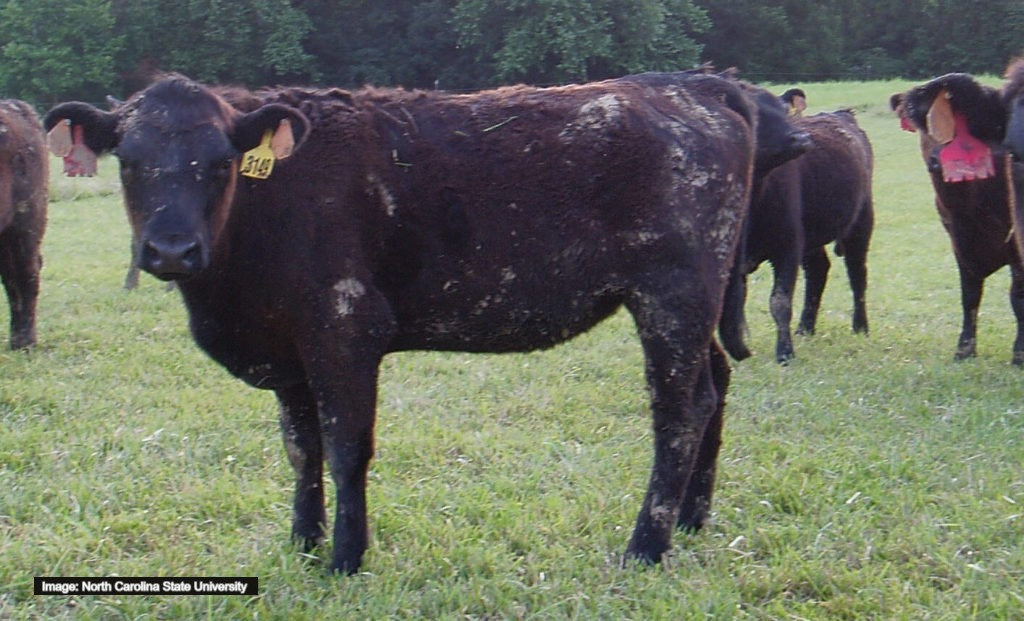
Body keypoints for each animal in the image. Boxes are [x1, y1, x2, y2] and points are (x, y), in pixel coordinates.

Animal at [44, 71, 807, 574]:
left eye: (220, 163)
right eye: (130, 162)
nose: (171, 250)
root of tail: (690, 85)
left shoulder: (345, 330)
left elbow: (345, 447)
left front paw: (345, 558)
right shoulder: (289, 349)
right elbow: (301, 448)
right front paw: (302, 540)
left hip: (671, 294)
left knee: (681, 407)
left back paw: (646, 546)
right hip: (693, 300)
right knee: (715, 384)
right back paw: (691, 518)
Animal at [719, 91, 874, 363]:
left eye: (783, 110)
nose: (801, 137)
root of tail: (842, 113)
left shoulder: (787, 247)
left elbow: (779, 302)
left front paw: (784, 353)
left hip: (861, 223)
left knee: (857, 274)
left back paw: (860, 326)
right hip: (811, 238)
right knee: (818, 270)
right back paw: (805, 328)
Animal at [892, 69, 1024, 365]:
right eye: (922, 127)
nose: (937, 161)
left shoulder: (1014, 245)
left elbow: (1017, 297)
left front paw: (1020, 352)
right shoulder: (960, 242)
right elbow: (970, 295)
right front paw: (964, 348)